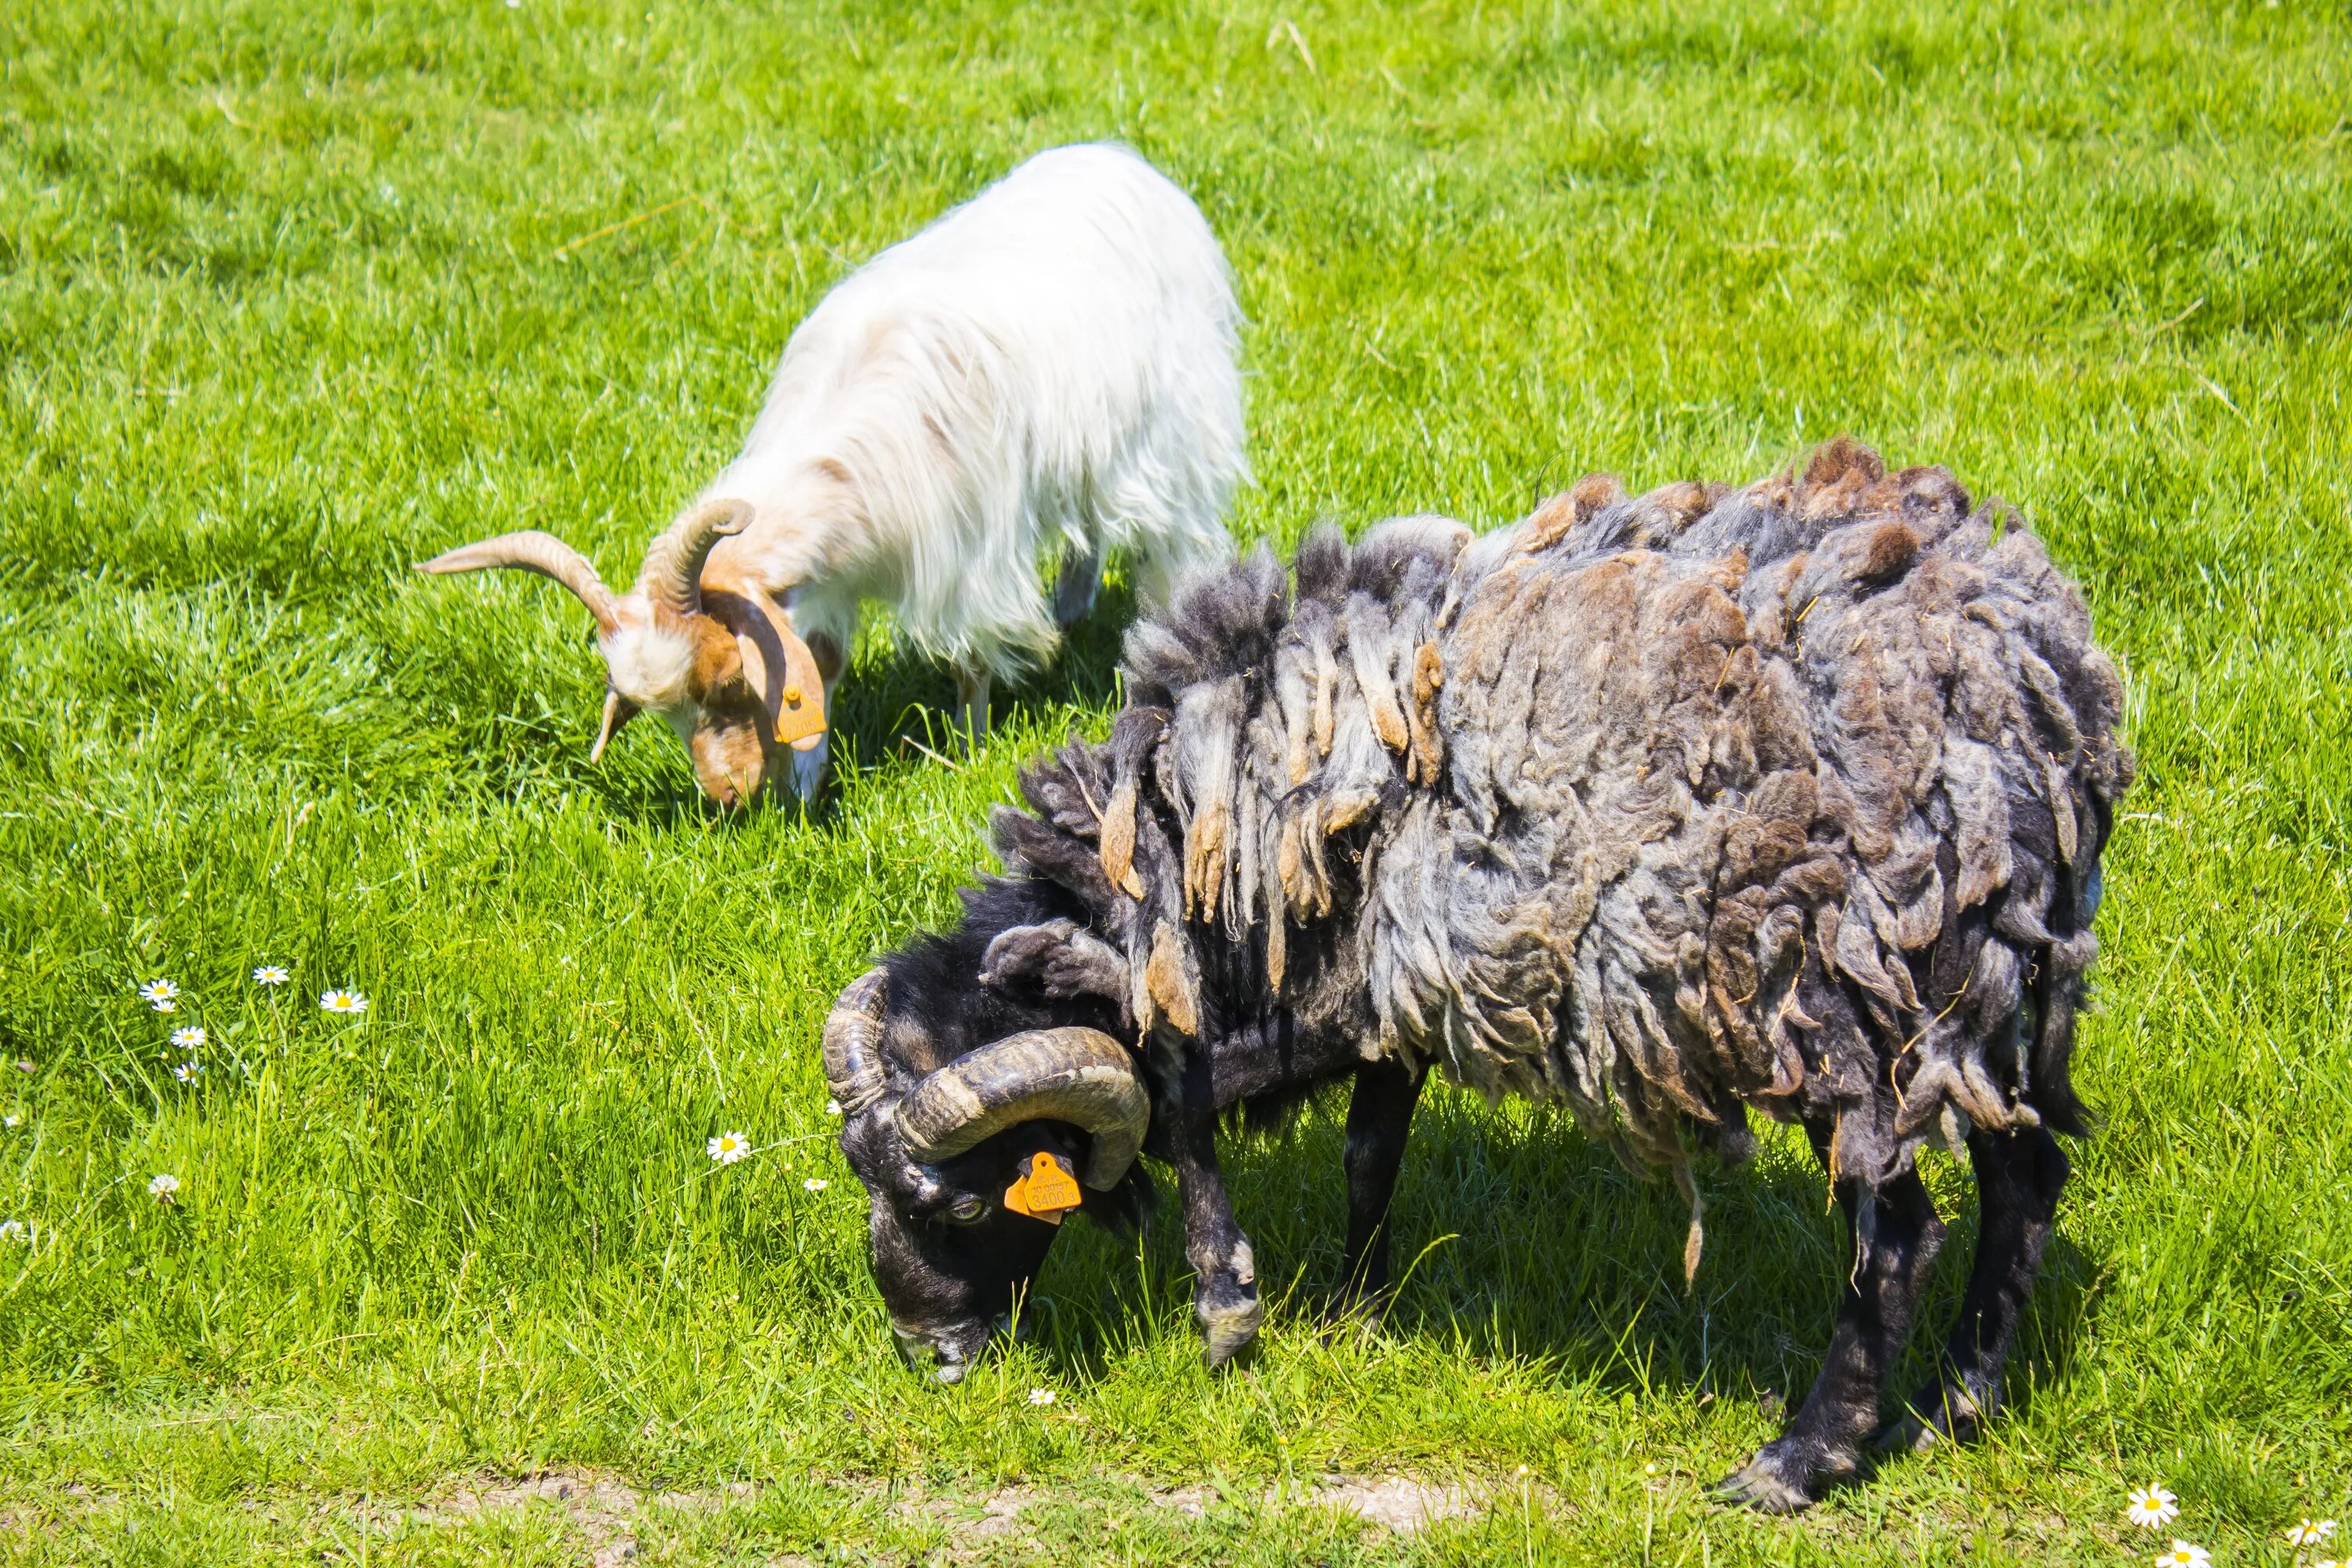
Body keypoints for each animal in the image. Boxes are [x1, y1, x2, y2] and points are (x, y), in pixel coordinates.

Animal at [419, 143, 1251, 808]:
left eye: (730, 681)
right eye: (660, 714)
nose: (725, 796)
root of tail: (1123, 162)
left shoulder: (968, 556)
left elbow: (970, 661)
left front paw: (968, 749)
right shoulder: (822, 589)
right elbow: (825, 661)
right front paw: (807, 780)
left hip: (1170, 433)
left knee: (1161, 536)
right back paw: (1073, 605)